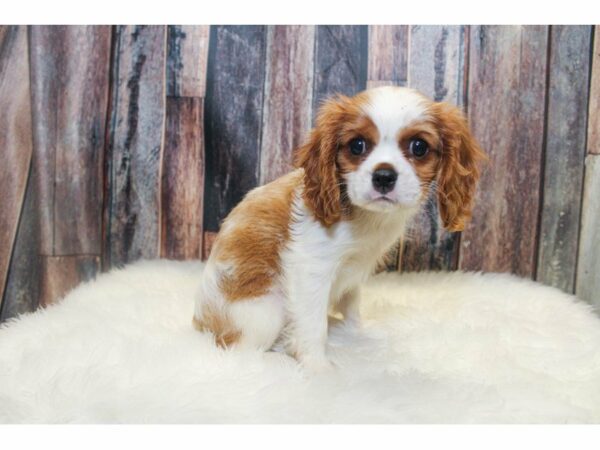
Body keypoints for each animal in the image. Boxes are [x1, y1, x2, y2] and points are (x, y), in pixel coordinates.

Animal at [195, 85, 486, 372]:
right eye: (357, 145)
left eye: (419, 147)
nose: (383, 176)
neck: (367, 218)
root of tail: (199, 324)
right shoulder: (312, 269)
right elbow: (313, 325)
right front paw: (318, 368)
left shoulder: (354, 271)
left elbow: (351, 303)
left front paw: (356, 332)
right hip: (265, 310)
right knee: (237, 347)